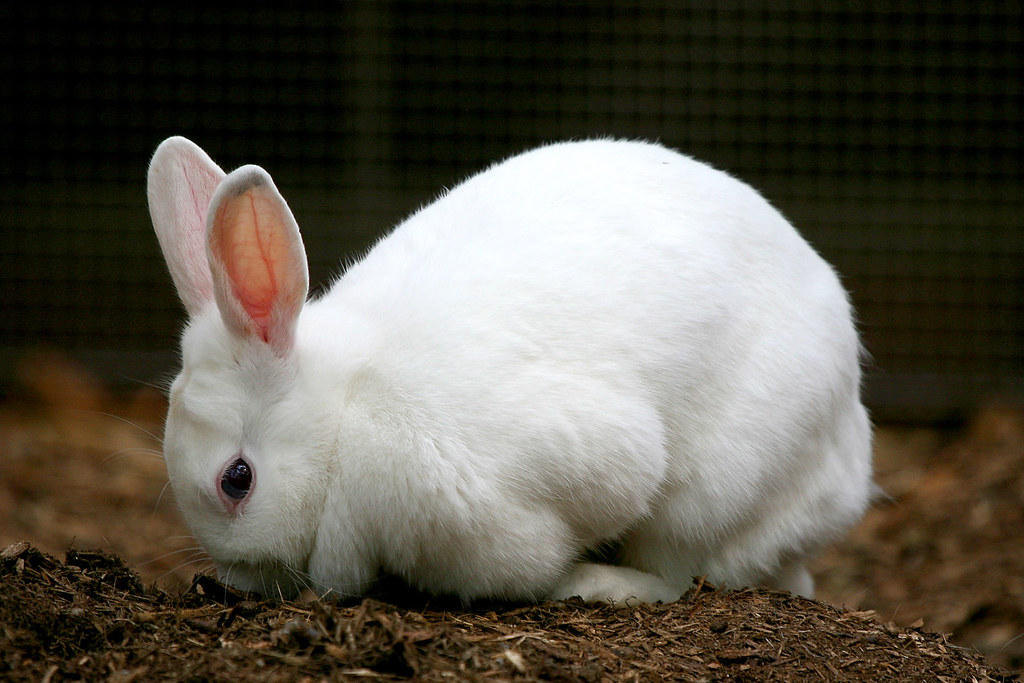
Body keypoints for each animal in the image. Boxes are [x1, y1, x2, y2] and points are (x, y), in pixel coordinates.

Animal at [147, 135, 872, 605]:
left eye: (237, 480)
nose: (236, 579)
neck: (346, 408)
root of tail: (848, 466)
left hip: (713, 493)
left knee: (683, 573)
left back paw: (598, 584)